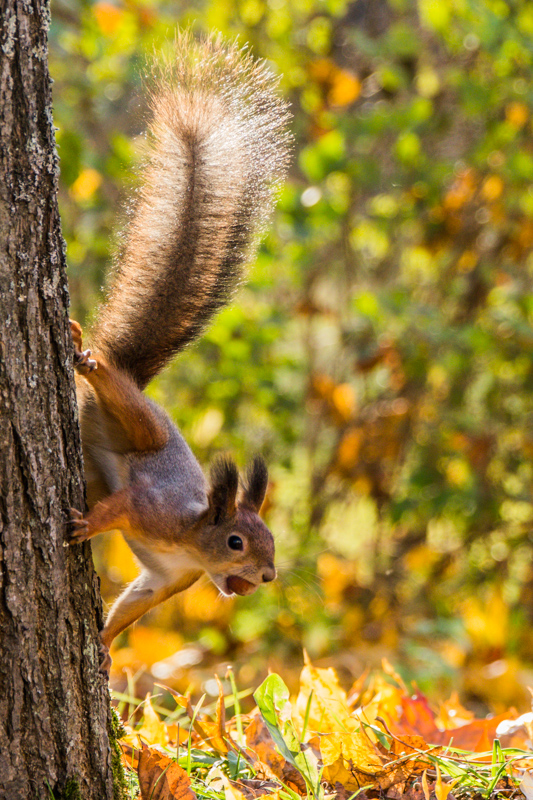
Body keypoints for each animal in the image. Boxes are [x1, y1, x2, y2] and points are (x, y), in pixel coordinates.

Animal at [67, 34, 290, 672]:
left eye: (271, 542)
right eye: (237, 541)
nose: (267, 577)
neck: (193, 542)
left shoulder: (170, 581)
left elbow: (134, 605)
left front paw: (103, 647)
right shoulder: (151, 507)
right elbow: (121, 508)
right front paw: (86, 526)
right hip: (142, 425)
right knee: (113, 383)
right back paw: (86, 355)